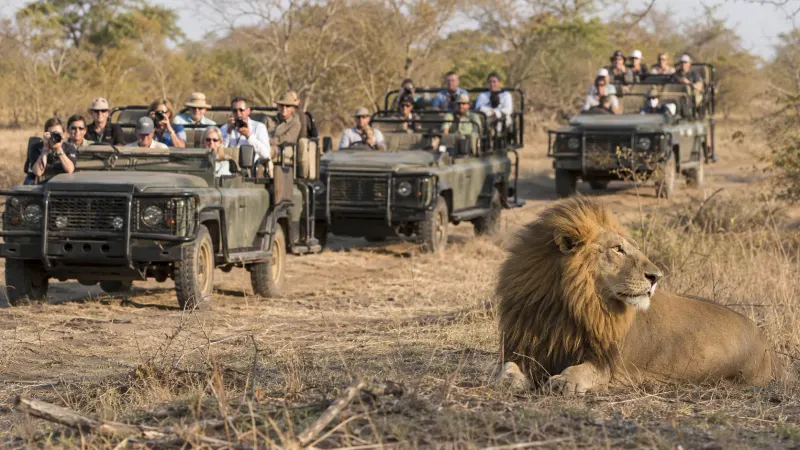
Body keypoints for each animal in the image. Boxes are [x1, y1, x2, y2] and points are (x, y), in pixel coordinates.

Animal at [496, 197, 783, 394]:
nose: (656, 276)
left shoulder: (607, 365)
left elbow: (582, 371)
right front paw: (510, 380)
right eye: (617, 249)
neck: (567, 305)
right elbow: (506, 367)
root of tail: (764, 338)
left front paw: (564, 381)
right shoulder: (526, 347)